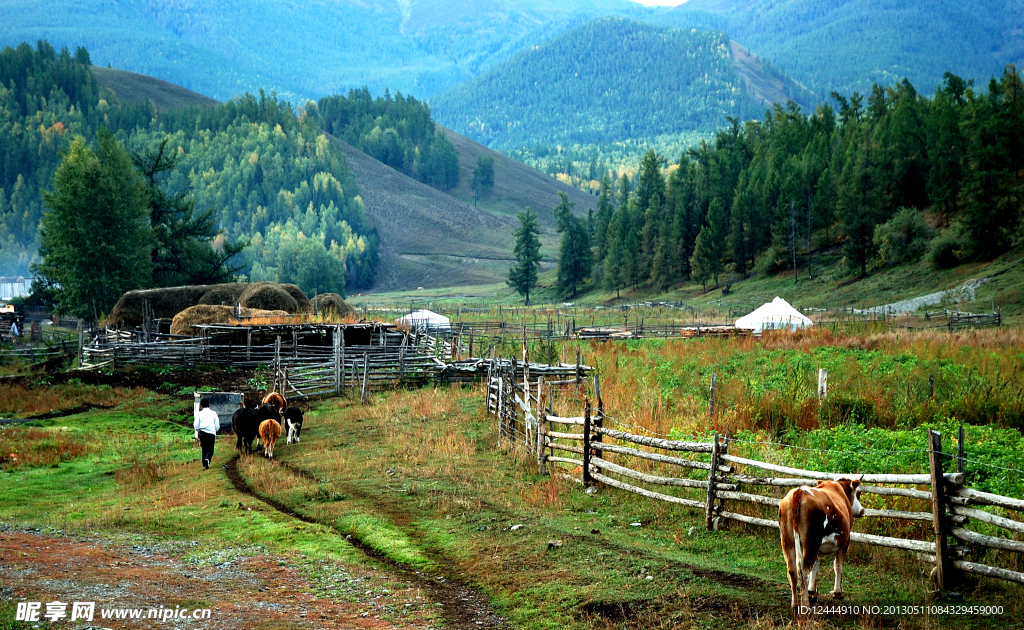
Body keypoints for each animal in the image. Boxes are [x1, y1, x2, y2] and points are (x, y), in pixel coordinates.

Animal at [778, 477, 868, 614]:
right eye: (859, 493)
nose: (862, 511)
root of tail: (800, 491)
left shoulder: (816, 548)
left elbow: (815, 566)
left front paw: (812, 592)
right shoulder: (845, 541)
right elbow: (838, 566)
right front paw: (838, 592)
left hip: (788, 541)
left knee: (792, 571)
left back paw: (795, 604)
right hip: (811, 542)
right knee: (803, 571)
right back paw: (805, 606)